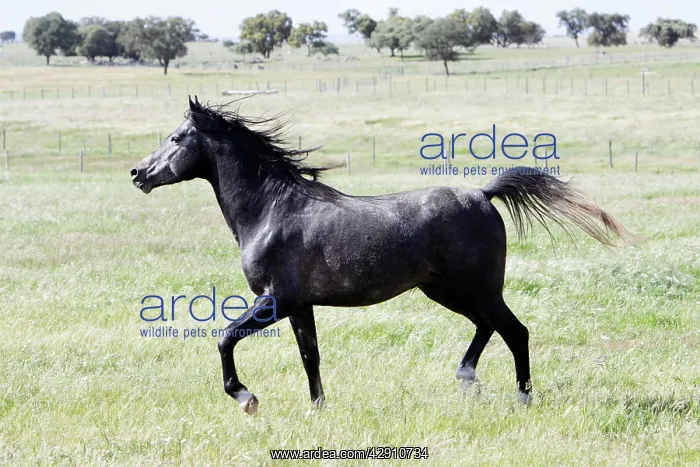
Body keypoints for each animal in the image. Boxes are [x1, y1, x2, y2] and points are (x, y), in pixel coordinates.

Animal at [130, 96, 634, 414]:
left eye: (176, 138)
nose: (138, 173)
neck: (271, 209)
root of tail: (483, 193)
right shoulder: (300, 306)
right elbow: (310, 356)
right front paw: (318, 409)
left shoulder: (275, 301)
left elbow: (224, 338)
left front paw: (246, 398)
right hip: (443, 291)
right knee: (488, 327)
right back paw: (466, 377)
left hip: (477, 289)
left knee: (515, 331)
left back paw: (522, 399)